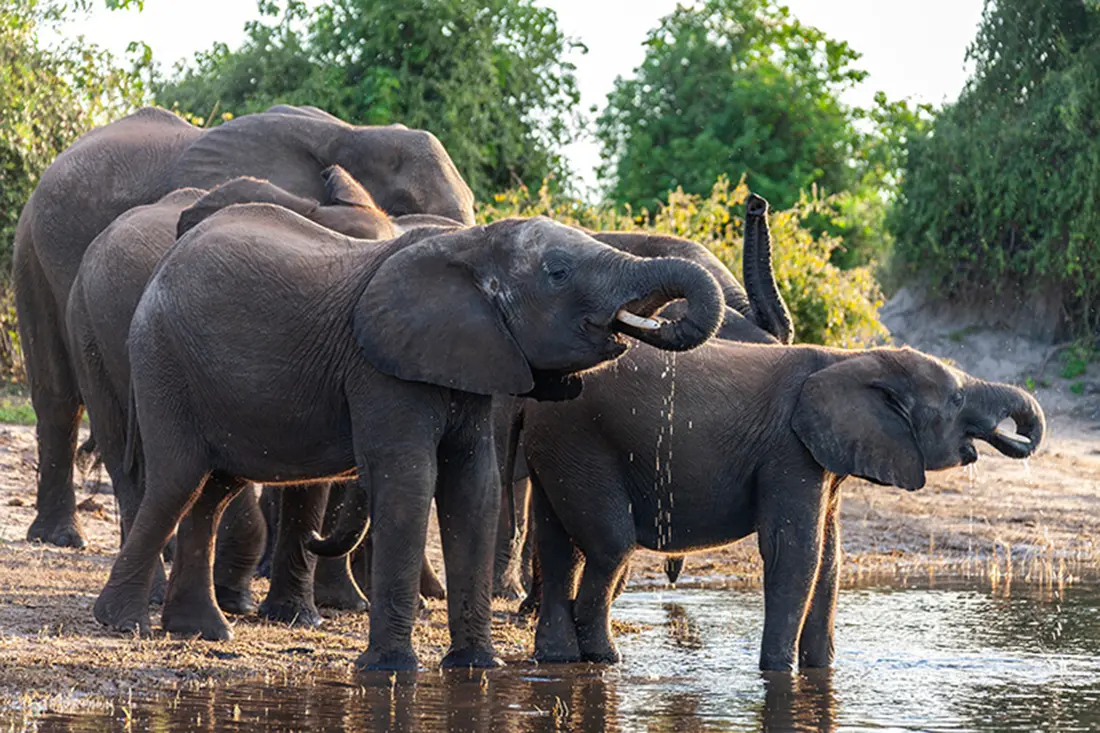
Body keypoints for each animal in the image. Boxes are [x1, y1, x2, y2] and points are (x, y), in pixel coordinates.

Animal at [92, 211, 725, 672]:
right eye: (558, 272)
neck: (472, 244)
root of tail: (164, 266)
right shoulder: (381, 370)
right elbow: (409, 481)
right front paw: (391, 673)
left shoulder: (472, 362)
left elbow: (474, 487)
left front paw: (477, 668)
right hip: (161, 361)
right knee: (177, 481)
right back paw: (122, 625)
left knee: (212, 491)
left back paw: (201, 632)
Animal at [523, 338, 1045, 670]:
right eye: (956, 399)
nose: (1018, 433)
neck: (853, 358)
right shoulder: (788, 450)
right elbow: (795, 552)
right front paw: (777, 672)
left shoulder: (825, 456)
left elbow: (829, 560)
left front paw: (820, 672)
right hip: (583, 441)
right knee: (611, 543)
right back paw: (605, 658)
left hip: (557, 448)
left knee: (558, 545)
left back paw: (556, 658)